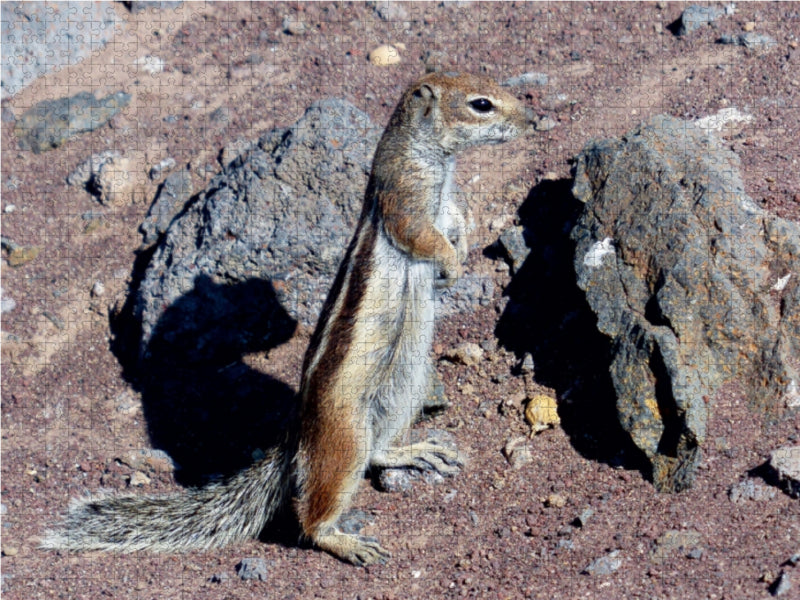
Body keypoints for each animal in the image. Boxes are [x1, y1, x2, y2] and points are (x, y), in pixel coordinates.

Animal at [42, 72, 532, 564]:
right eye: (481, 104)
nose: (529, 118)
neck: (432, 157)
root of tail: (297, 433)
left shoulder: (445, 204)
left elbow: (455, 224)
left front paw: (459, 258)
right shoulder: (405, 198)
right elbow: (424, 237)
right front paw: (450, 265)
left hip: (404, 391)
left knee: (376, 453)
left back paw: (410, 452)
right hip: (343, 438)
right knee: (312, 512)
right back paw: (344, 541)